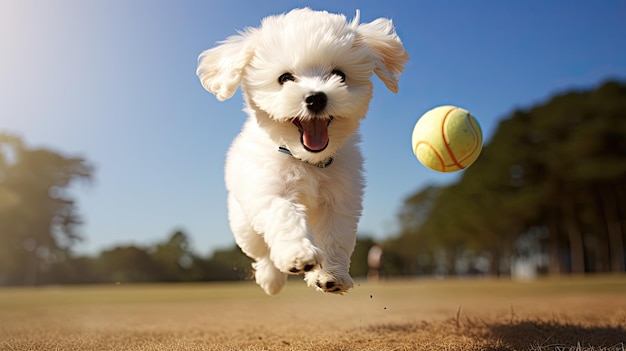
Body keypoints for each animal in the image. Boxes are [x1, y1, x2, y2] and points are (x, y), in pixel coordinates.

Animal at [197, 7, 408, 294]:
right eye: (285, 78)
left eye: (339, 75)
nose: (316, 97)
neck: (306, 159)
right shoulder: (269, 187)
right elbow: (283, 214)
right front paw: (299, 255)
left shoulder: (340, 198)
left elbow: (335, 235)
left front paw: (331, 275)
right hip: (243, 223)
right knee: (262, 250)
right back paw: (272, 278)